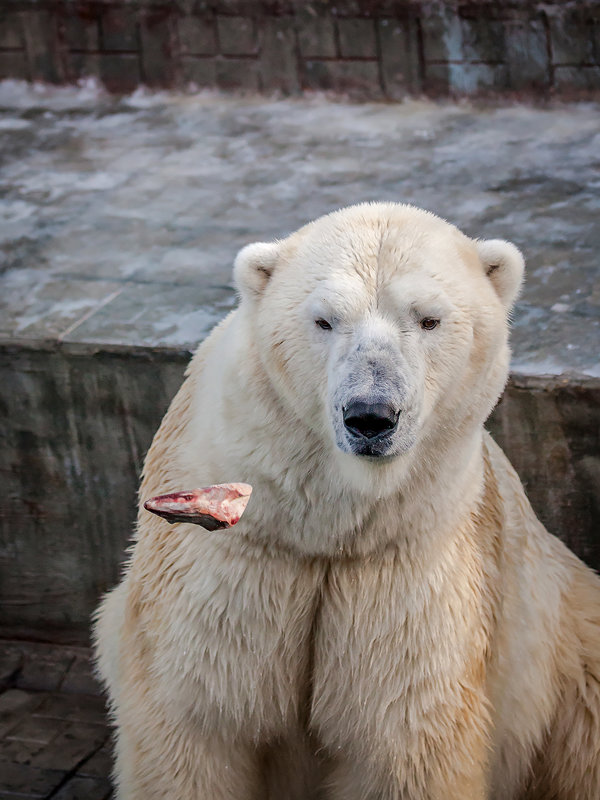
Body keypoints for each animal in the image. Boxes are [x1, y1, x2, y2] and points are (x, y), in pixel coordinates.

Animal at [95, 205, 600, 800]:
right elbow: (195, 721)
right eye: (324, 321)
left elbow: (403, 741)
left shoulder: (409, 567)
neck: (326, 526)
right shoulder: (233, 561)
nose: (370, 416)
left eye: (429, 319)